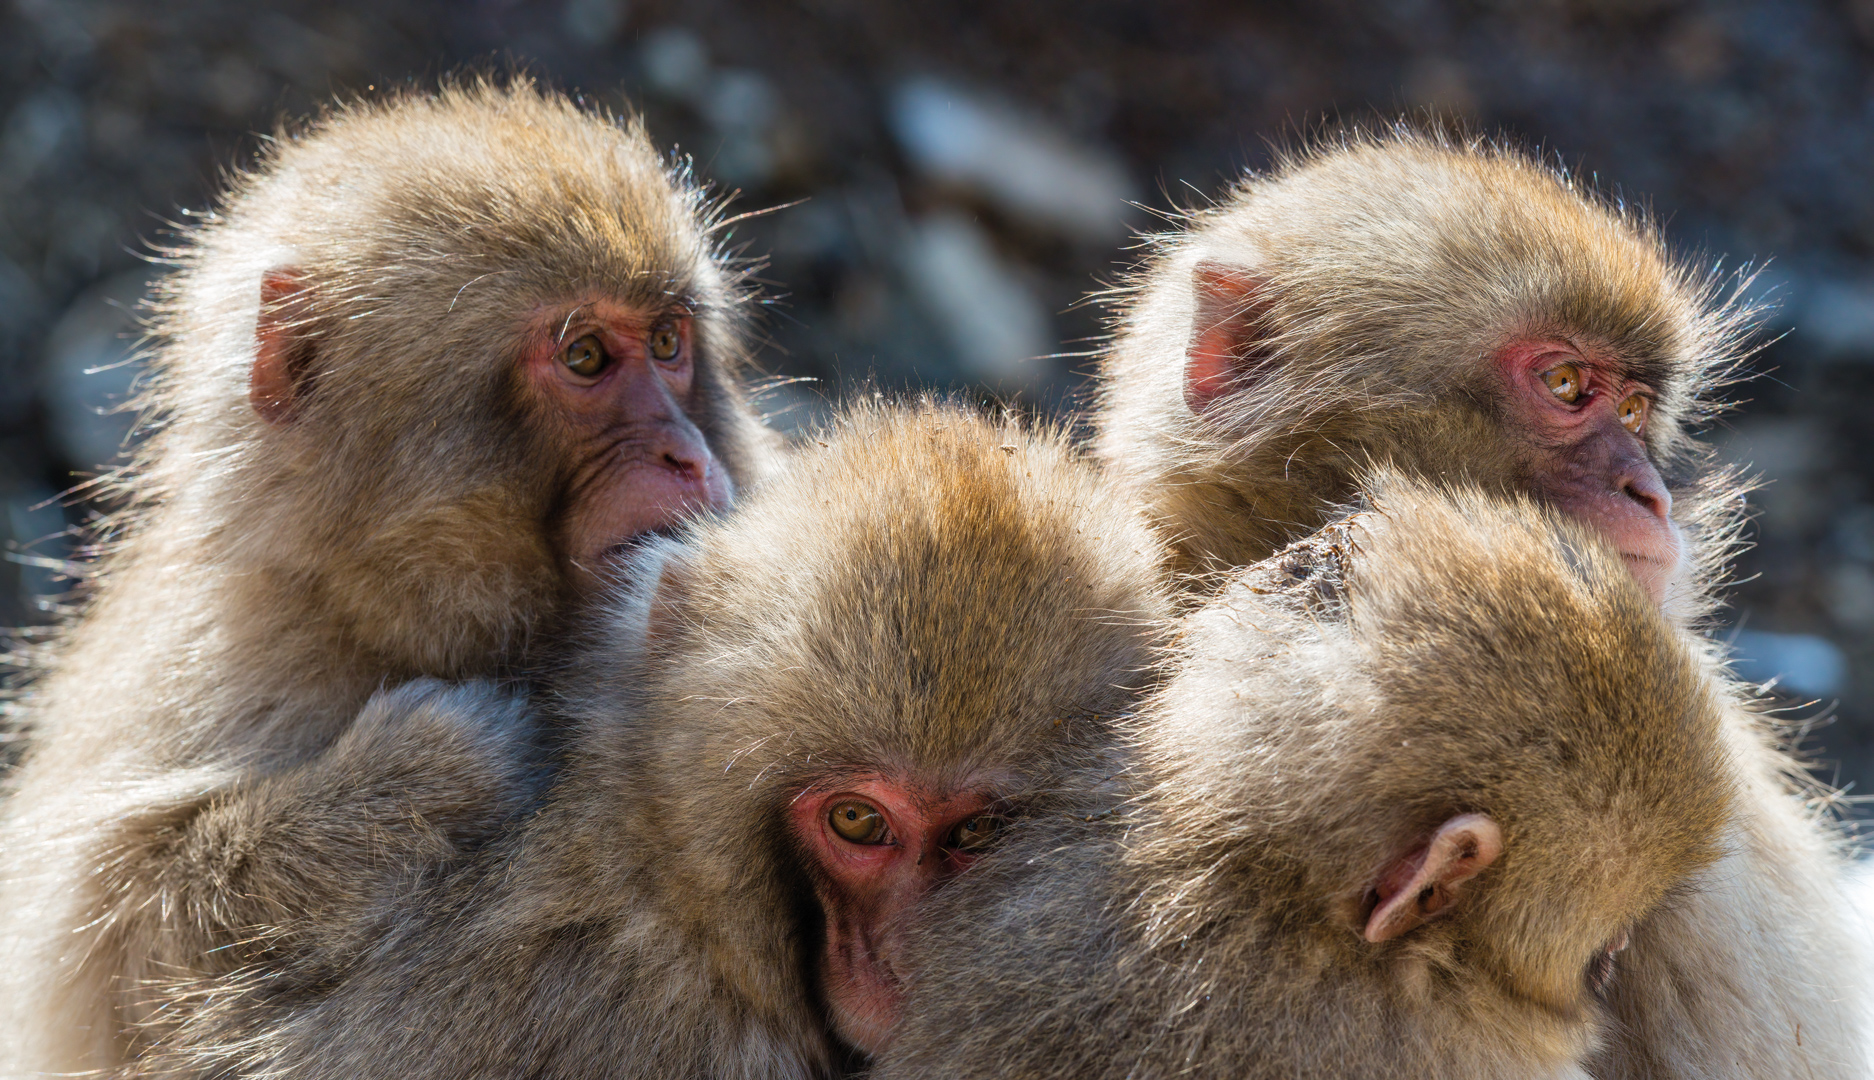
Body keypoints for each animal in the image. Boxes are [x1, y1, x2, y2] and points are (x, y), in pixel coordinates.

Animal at [0, 77, 783, 1072]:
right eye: (586, 358)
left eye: (670, 342)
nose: (687, 455)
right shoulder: (237, 652)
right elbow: (120, 955)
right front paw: (422, 773)